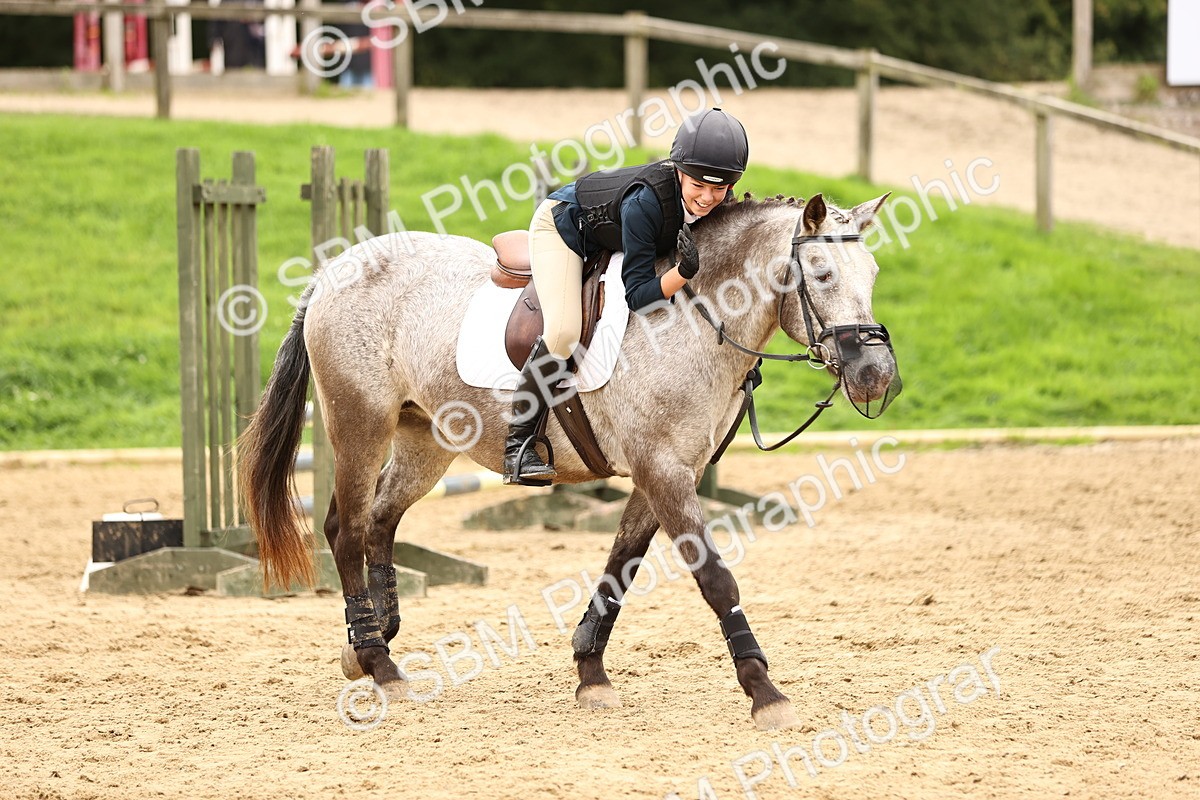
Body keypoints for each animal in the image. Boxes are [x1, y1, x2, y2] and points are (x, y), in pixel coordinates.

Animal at [238, 190, 901, 730]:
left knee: (379, 520)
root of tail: (333, 269)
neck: (694, 316)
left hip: (425, 437)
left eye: (872, 273)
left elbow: (620, 568)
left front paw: (591, 674)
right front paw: (765, 693)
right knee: (346, 528)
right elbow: (716, 579)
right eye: (820, 274)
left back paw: (369, 641)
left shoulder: (667, 474)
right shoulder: (663, 471)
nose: (875, 375)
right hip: (360, 423)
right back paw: (379, 663)